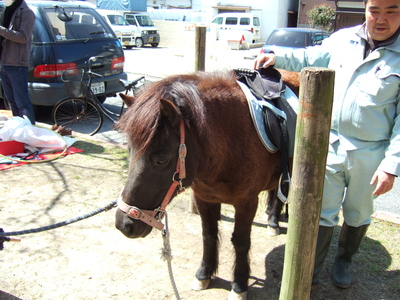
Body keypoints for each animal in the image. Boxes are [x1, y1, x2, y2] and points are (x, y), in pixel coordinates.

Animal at [114, 71, 296, 300]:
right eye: (129, 149)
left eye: (162, 159)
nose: (124, 225)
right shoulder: (205, 198)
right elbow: (208, 236)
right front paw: (204, 274)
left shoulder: (246, 203)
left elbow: (241, 242)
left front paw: (239, 285)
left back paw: (273, 222)